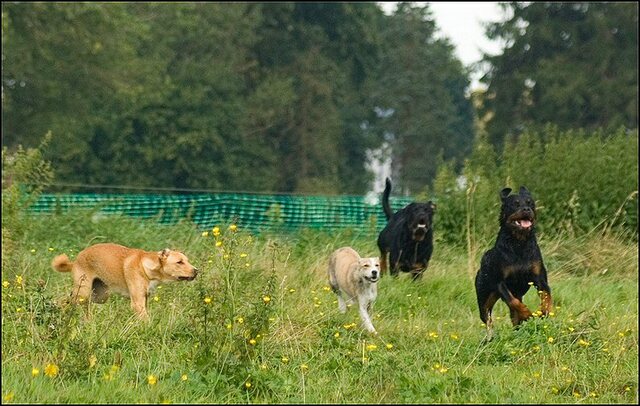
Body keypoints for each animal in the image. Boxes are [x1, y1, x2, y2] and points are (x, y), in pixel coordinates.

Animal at [51, 243, 198, 318]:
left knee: (68, 301)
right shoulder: (137, 303)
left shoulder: (144, 299)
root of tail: (75, 261)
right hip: (84, 293)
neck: (147, 267)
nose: (197, 271)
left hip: (99, 296)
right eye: (179, 262)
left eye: (187, 260)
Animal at [472, 187, 552, 336]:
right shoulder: (500, 282)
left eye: (531, 203)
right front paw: (527, 313)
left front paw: (545, 311)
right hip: (484, 296)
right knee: (487, 318)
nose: (527, 209)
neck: (519, 243)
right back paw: (490, 336)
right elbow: (512, 301)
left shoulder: (539, 278)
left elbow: (547, 294)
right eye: (515, 204)